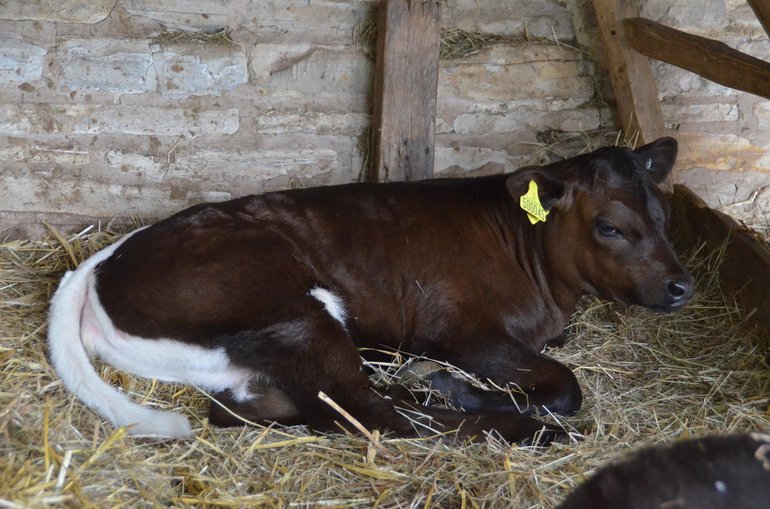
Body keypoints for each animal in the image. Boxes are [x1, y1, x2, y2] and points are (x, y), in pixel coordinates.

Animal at [48, 137, 693, 444]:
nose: (681, 285)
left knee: (259, 409)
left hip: (243, 361)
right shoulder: (464, 330)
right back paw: (519, 428)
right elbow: (565, 388)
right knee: (367, 412)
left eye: (665, 215)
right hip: (291, 312)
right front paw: (461, 387)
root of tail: (94, 266)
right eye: (610, 226)